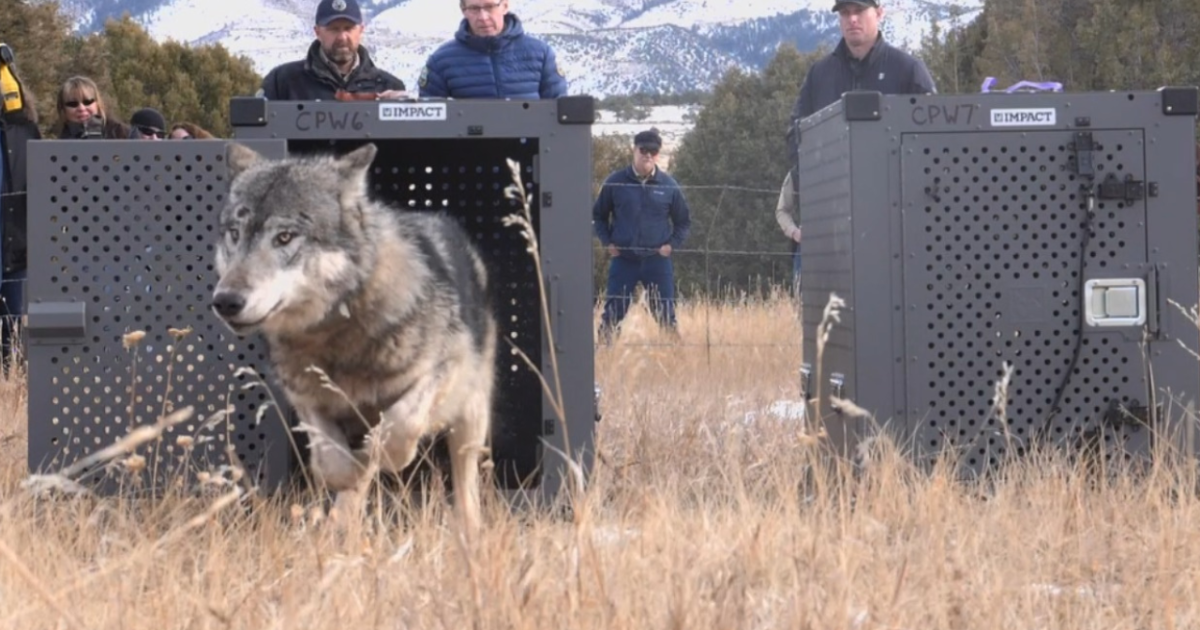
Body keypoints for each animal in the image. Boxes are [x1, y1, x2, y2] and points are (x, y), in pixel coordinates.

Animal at [210, 142, 497, 530]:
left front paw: (378, 458)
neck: (337, 335)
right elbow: (335, 464)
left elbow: (398, 429)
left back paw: (469, 530)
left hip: (470, 416)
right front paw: (348, 484)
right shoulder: (305, 397)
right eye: (234, 234)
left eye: (284, 237)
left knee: (466, 487)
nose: (225, 301)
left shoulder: (446, 368)